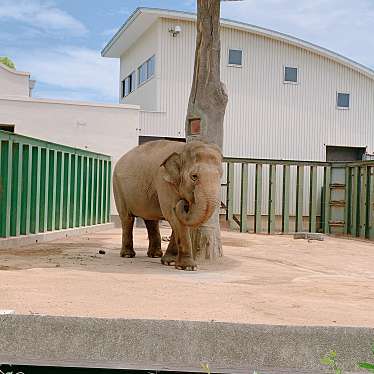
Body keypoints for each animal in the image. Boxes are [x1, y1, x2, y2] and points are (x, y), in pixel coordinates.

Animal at [112, 139, 222, 270]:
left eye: (220, 176)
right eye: (194, 176)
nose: (184, 203)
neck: (183, 149)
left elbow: (181, 220)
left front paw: (170, 262)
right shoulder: (164, 182)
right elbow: (173, 215)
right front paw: (188, 267)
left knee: (151, 220)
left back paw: (155, 255)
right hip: (118, 187)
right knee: (127, 218)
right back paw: (128, 255)